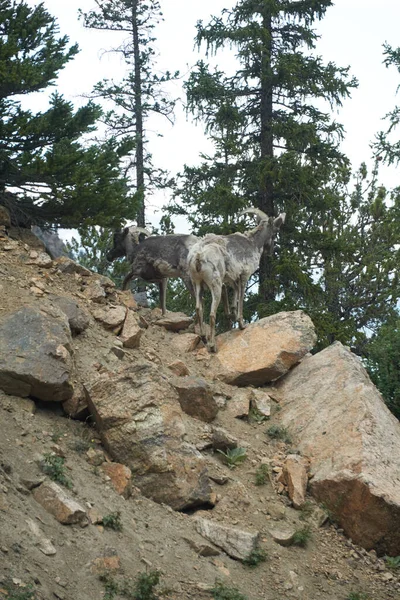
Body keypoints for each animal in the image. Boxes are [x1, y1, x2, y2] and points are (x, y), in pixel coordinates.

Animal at [187, 210, 284, 352]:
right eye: (275, 231)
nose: (270, 252)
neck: (253, 243)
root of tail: (198, 256)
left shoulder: (232, 279)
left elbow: (235, 294)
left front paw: (232, 315)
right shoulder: (244, 275)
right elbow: (241, 297)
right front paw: (241, 324)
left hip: (197, 284)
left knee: (199, 309)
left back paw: (204, 339)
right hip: (215, 285)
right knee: (212, 313)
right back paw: (212, 346)